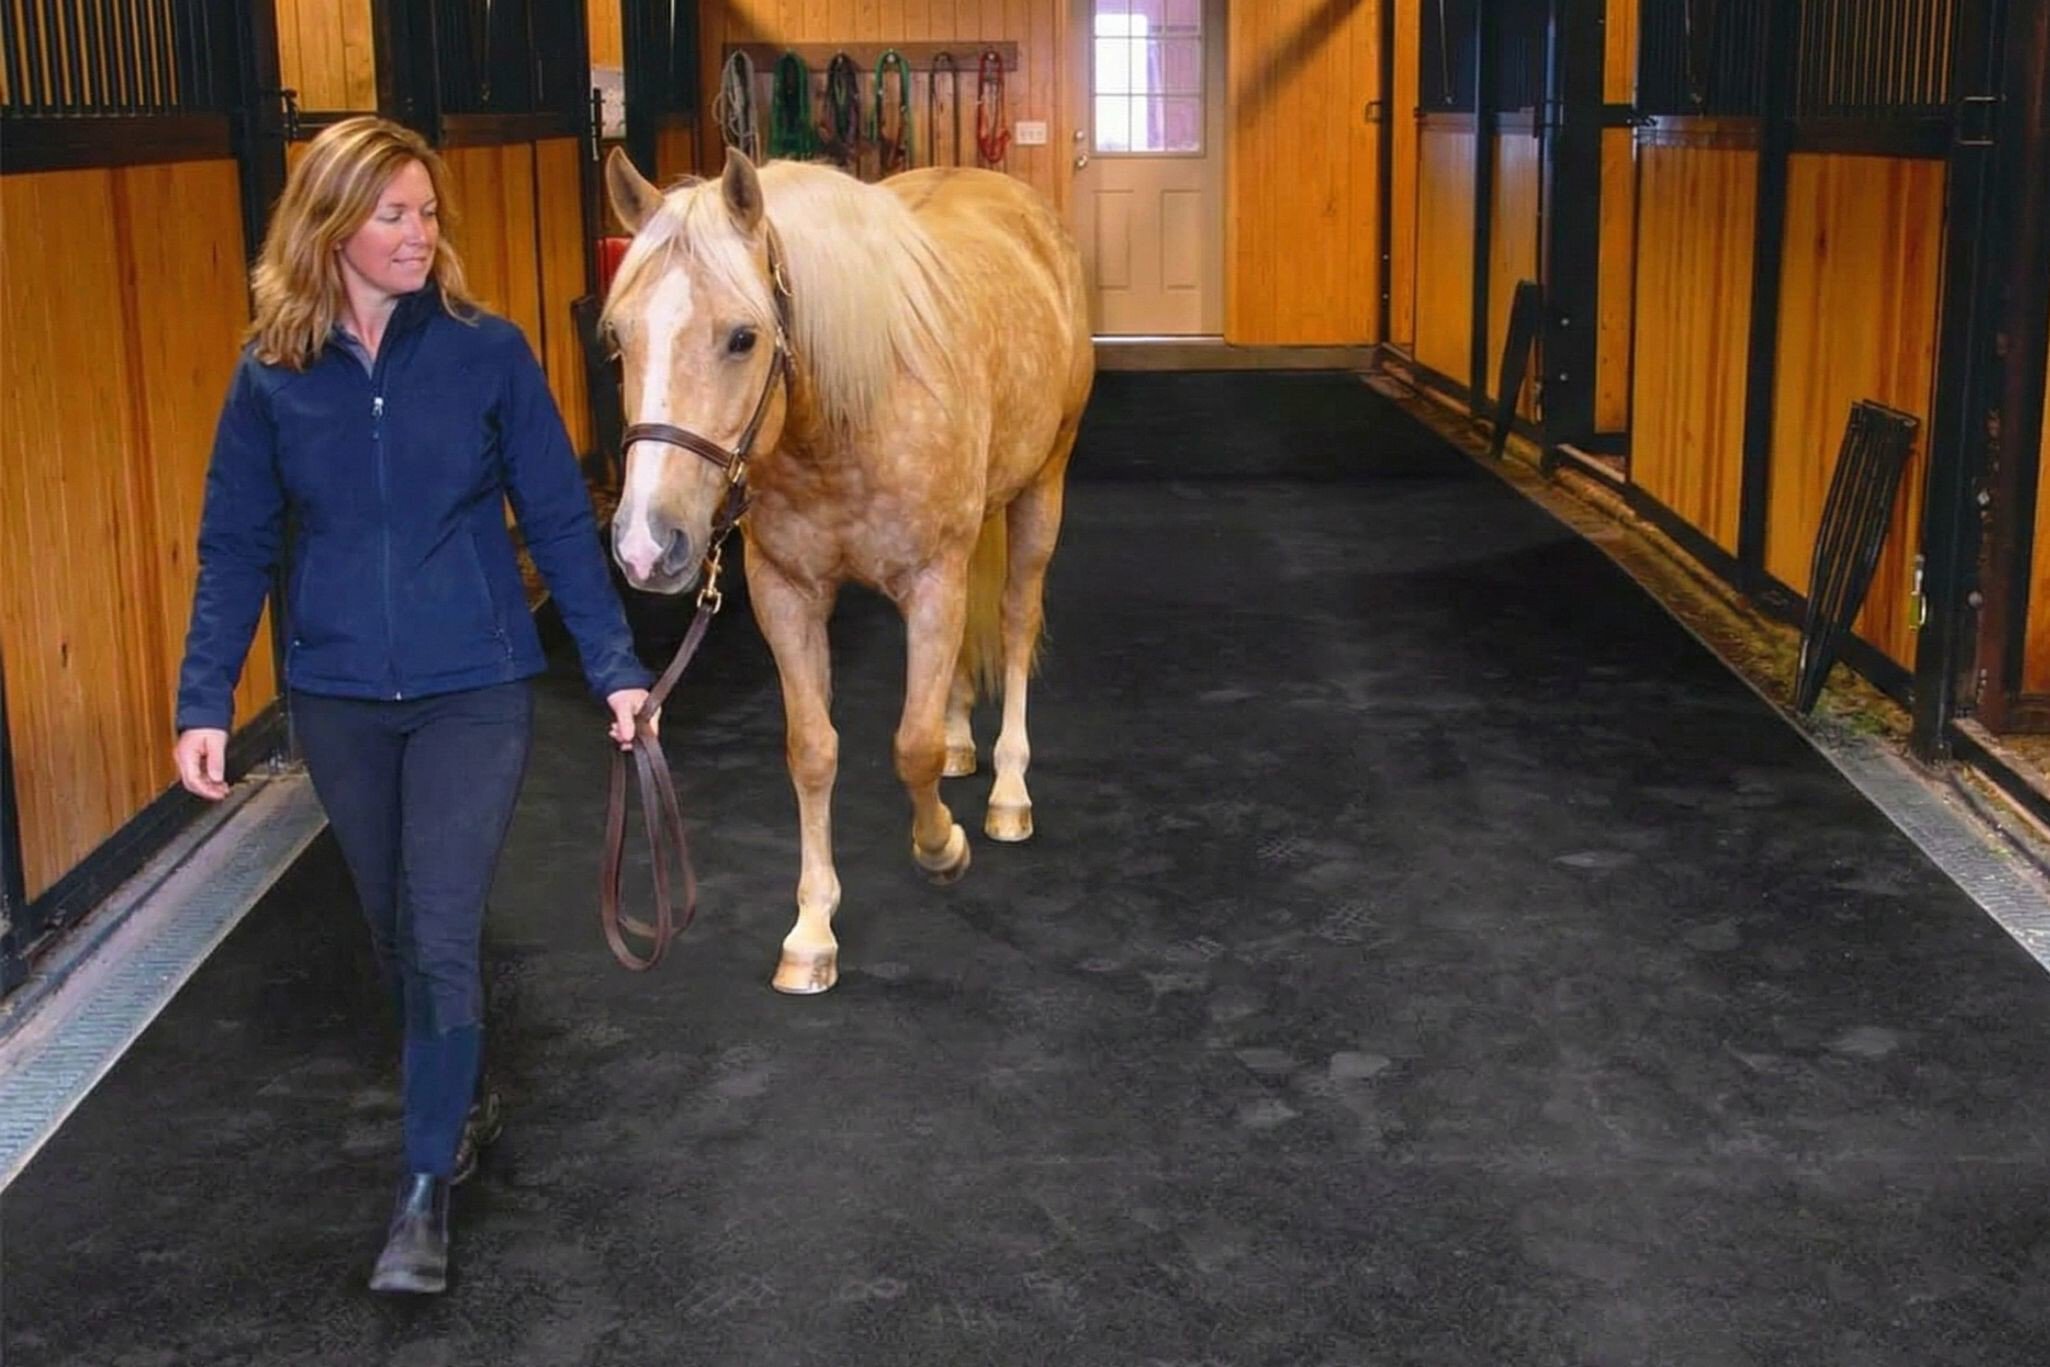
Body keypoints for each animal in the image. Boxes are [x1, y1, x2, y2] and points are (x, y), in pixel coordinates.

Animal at [599, 147, 1094, 994]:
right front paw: (811, 930)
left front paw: (942, 844)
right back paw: (966, 741)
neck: (845, 418)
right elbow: (813, 749)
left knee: (1015, 621)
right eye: (620, 337)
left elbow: (911, 744)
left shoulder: (932, 578)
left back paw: (1007, 789)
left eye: (742, 337)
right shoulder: (786, 592)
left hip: (1041, 489)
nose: (643, 544)